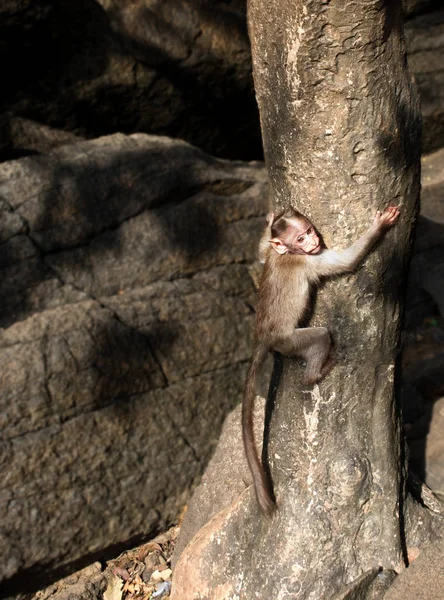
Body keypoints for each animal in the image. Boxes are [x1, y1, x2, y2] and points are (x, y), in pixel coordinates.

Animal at [245, 204, 400, 512]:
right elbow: (346, 262)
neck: (288, 254)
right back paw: (317, 372)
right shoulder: (310, 261)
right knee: (320, 338)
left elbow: (261, 253)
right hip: (290, 342)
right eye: (301, 239)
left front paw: (270, 220)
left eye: (308, 231)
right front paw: (378, 227)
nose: (314, 240)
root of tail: (263, 336)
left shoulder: (275, 254)